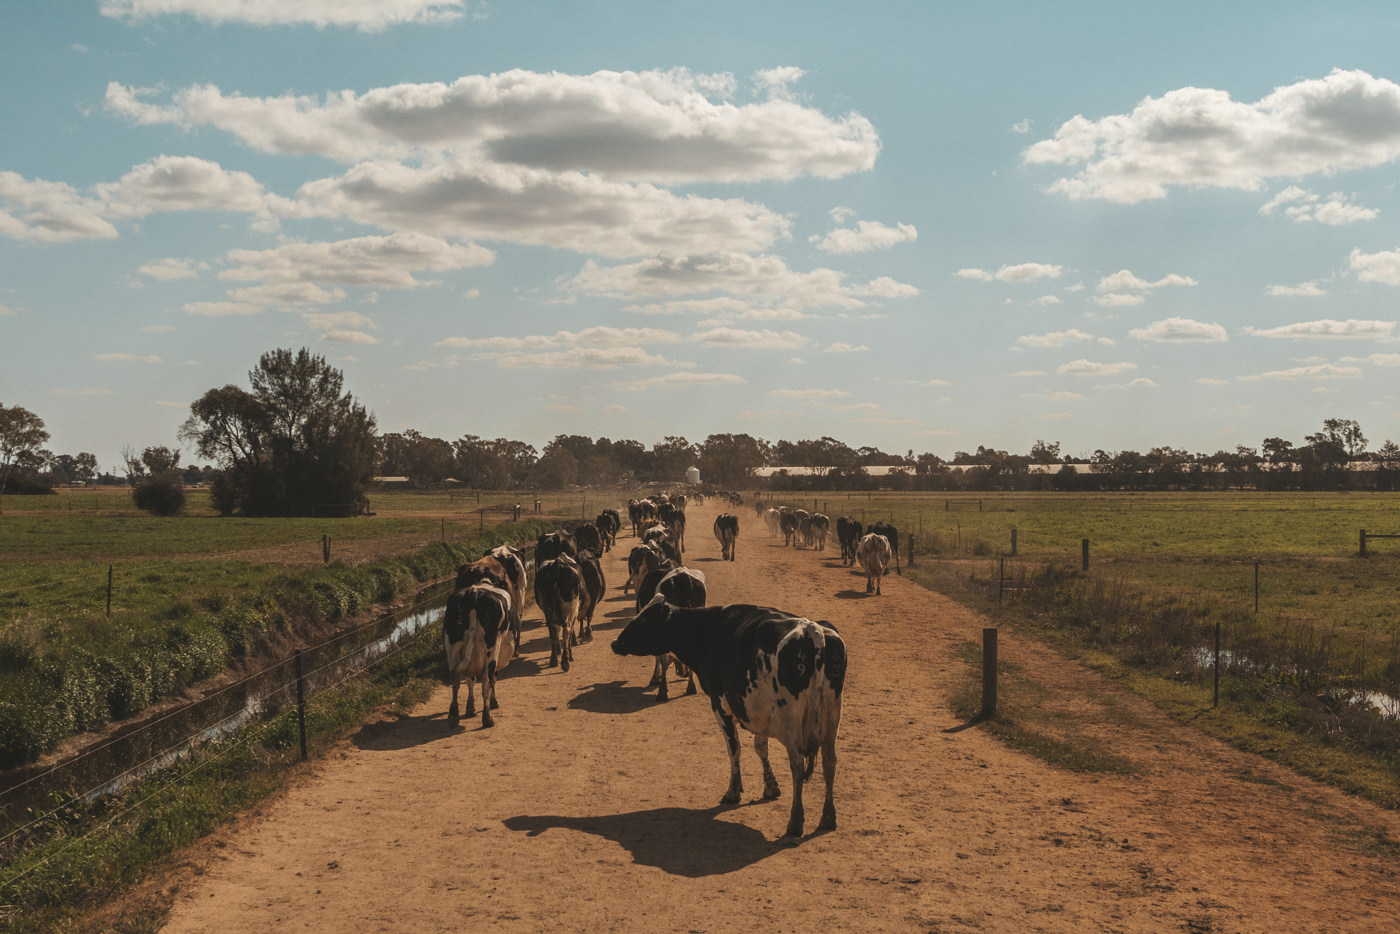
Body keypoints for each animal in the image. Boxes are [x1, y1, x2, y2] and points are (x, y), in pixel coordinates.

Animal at [442, 585, 515, 728]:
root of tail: (474, 592)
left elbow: (470, 681)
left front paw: (470, 708)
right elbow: (493, 679)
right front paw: (493, 702)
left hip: (453, 646)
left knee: (456, 681)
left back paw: (453, 716)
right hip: (491, 647)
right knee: (486, 682)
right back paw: (487, 718)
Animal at [610, 602, 845, 845]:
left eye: (645, 619)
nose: (615, 643)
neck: (711, 630)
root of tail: (813, 632)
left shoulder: (719, 703)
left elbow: (734, 749)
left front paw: (733, 791)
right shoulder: (758, 711)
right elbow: (760, 747)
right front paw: (770, 788)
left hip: (792, 723)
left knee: (797, 765)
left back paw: (795, 821)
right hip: (832, 719)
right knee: (830, 762)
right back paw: (828, 817)